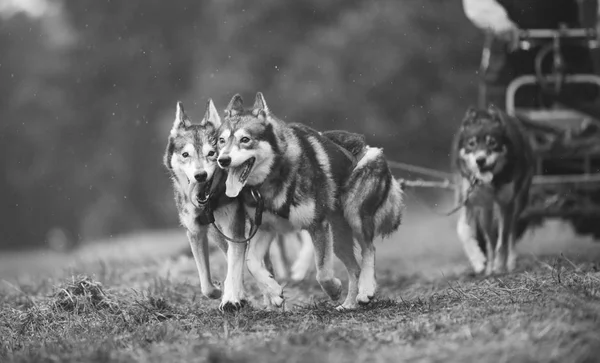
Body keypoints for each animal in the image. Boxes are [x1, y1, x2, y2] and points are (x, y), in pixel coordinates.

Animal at [216, 93, 404, 310]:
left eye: (245, 139)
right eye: (221, 141)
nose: (223, 160)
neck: (273, 178)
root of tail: (369, 147)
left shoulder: (317, 226)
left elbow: (322, 272)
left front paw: (333, 289)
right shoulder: (265, 229)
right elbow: (251, 263)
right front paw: (274, 291)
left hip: (354, 218)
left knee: (369, 250)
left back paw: (366, 290)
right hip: (338, 239)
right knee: (354, 269)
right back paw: (348, 305)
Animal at [452, 105, 532, 276]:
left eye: (492, 143)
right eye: (471, 143)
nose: (480, 160)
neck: (491, 182)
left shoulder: (506, 204)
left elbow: (503, 240)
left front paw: (500, 266)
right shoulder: (470, 202)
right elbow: (464, 230)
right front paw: (479, 261)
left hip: (518, 202)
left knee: (511, 232)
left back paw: (510, 262)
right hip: (486, 211)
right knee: (490, 237)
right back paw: (489, 266)